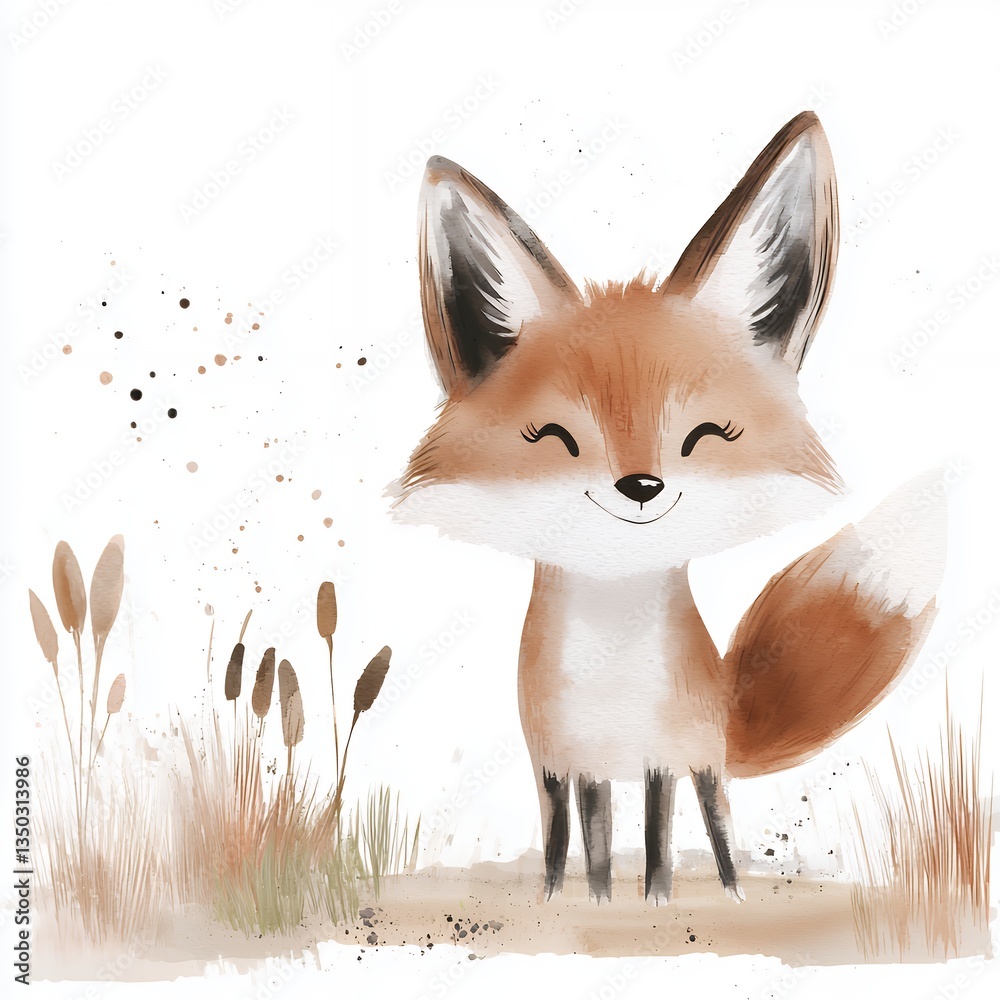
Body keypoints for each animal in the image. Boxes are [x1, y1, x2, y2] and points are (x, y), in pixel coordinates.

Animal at [390, 112, 946, 904]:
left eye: (704, 435)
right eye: (557, 439)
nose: (641, 486)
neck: (611, 667)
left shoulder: (661, 758)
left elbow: (657, 839)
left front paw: (656, 902)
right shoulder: (563, 763)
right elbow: (574, 846)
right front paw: (574, 903)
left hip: (703, 759)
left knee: (717, 824)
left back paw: (732, 891)